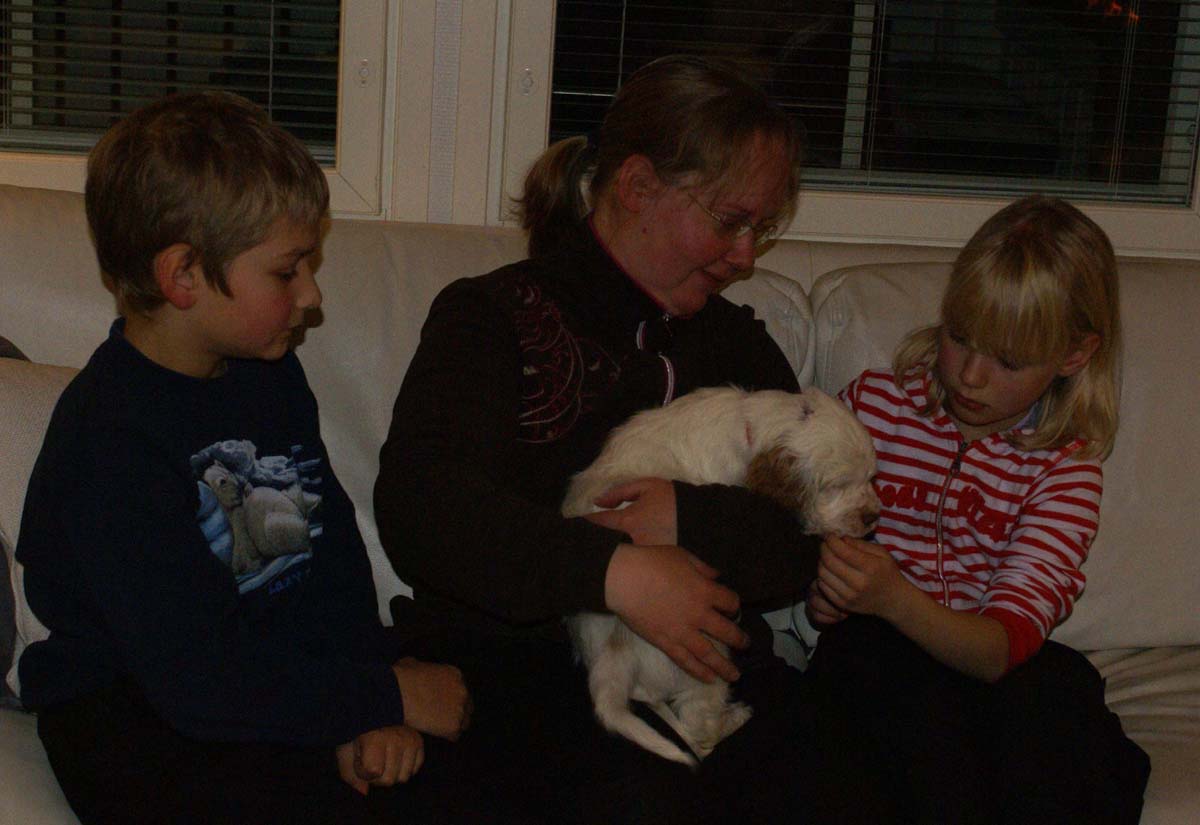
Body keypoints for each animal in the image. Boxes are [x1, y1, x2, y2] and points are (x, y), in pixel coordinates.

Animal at [563, 385, 879, 766]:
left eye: (871, 478)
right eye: (836, 485)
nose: (873, 518)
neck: (750, 426)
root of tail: (613, 653)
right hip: (707, 658)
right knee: (700, 733)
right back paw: (735, 717)